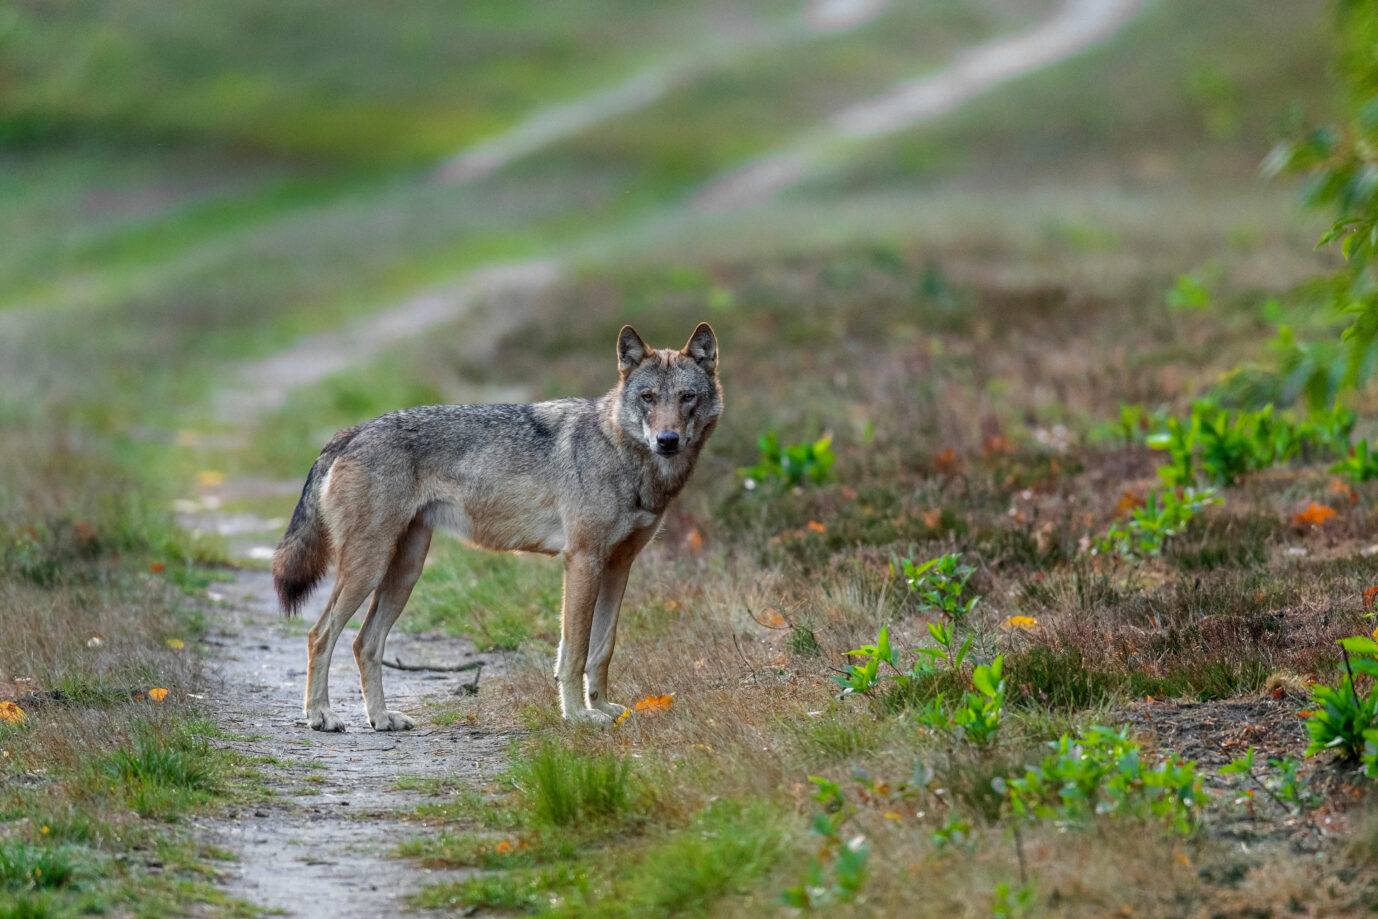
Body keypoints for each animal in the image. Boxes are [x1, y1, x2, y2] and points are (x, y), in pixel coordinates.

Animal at [270, 323, 722, 732]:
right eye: (648, 398)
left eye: (687, 397)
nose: (667, 439)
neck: (625, 456)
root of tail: (352, 431)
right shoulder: (582, 561)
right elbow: (574, 652)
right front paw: (578, 716)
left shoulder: (618, 566)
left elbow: (602, 649)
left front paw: (605, 709)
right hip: (369, 567)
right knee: (318, 634)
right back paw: (321, 716)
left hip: (404, 572)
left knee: (364, 642)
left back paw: (381, 719)